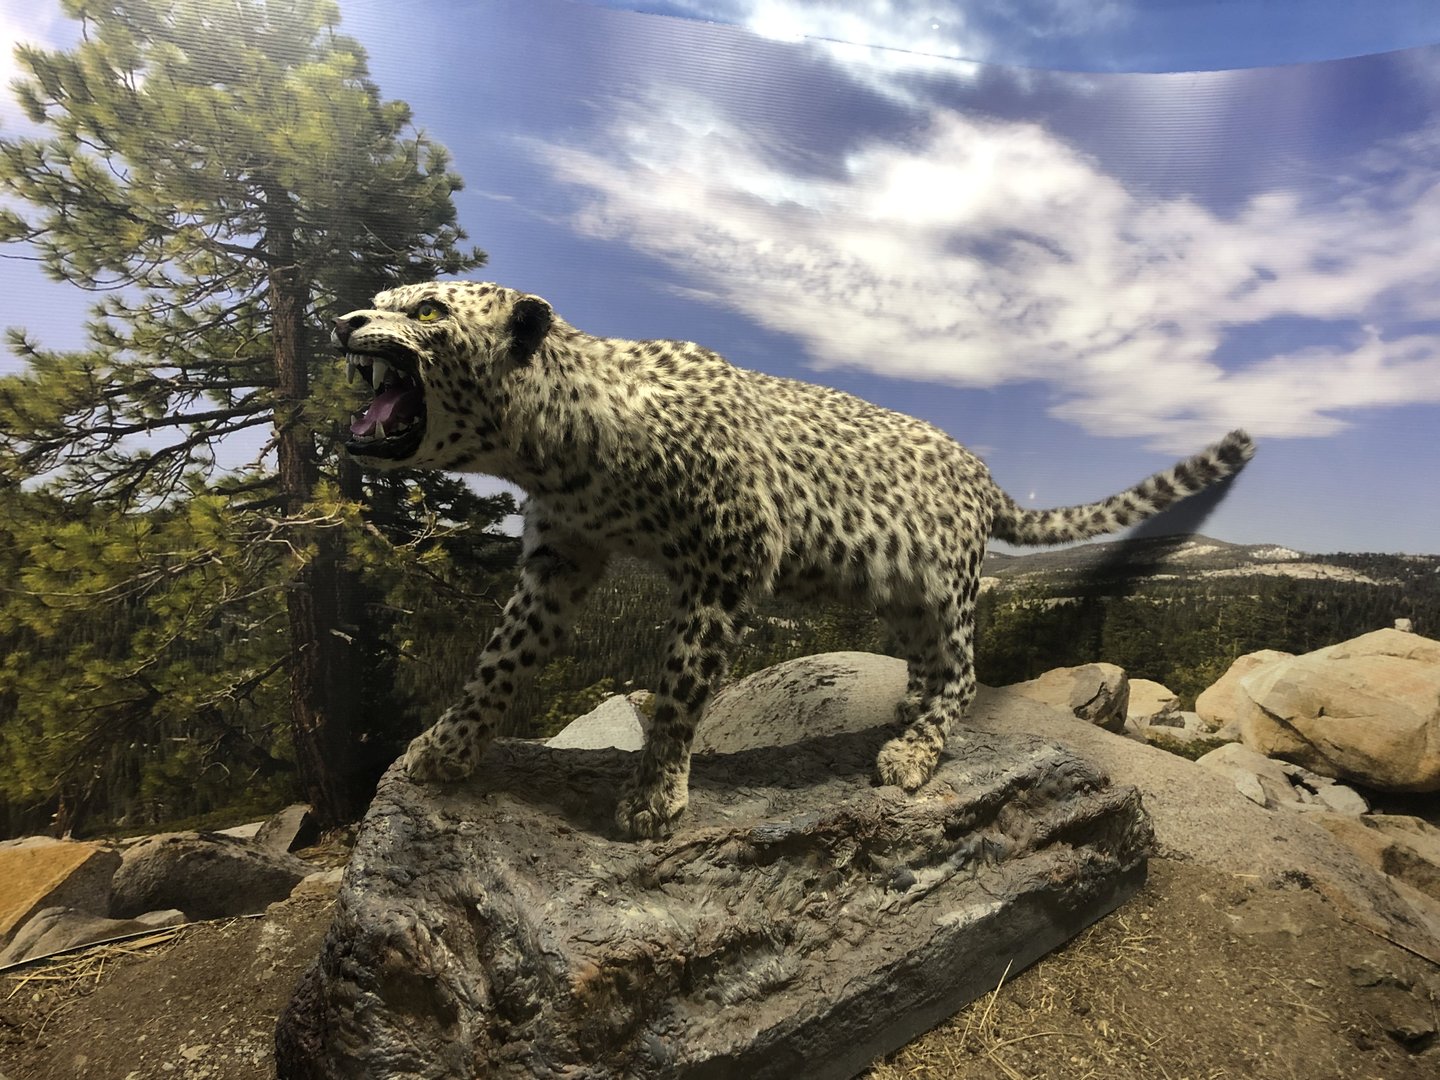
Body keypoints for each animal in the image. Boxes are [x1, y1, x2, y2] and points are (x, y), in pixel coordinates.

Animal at [332, 280, 1255, 839]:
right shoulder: (559, 562)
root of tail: (985, 473)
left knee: (964, 671)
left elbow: (679, 691)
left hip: (944, 585)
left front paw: (653, 797)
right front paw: (445, 750)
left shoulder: (725, 564)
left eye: (427, 309)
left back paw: (914, 753)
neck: (553, 445)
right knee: (928, 663)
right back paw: (906, 711)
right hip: (899, 593)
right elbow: (498, 662)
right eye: (378, 300)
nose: (344, 323)